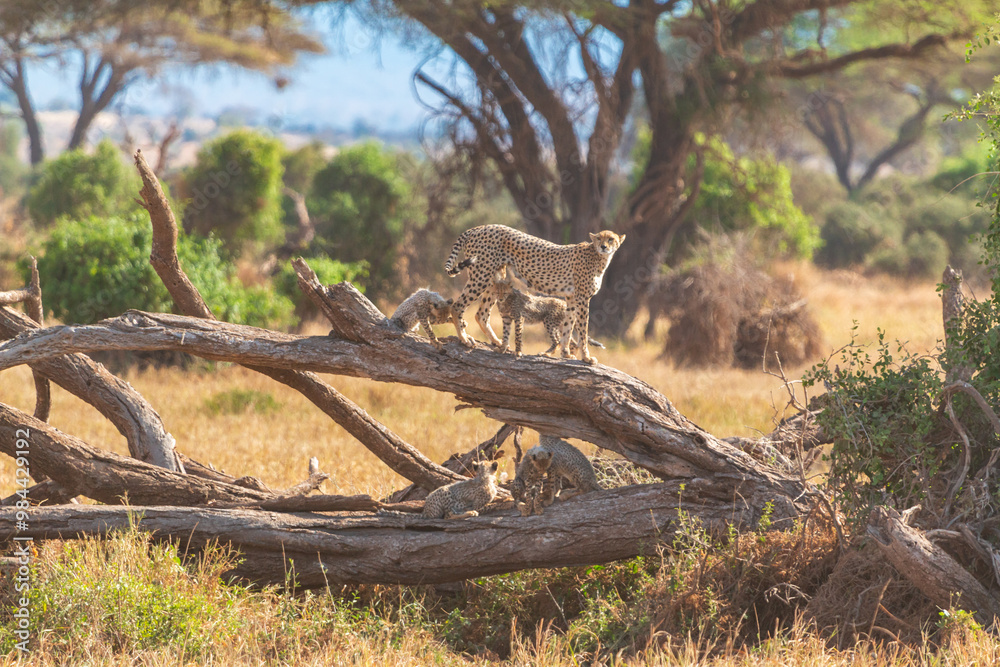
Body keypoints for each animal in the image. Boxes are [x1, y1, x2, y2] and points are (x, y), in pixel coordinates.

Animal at [443, 225, 626, 364]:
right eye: (599, 239)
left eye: (611, 239)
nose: (604, 247)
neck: (598, 257)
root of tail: (478, 227)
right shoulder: (582, 299)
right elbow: (582, 329)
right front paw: (586, 358)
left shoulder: (572, 298)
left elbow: (568, 327)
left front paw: (566, 353)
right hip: (481, 275)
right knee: (457, 306)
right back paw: (465, 339)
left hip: (495, 278)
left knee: (481, 313)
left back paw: (498, 342)